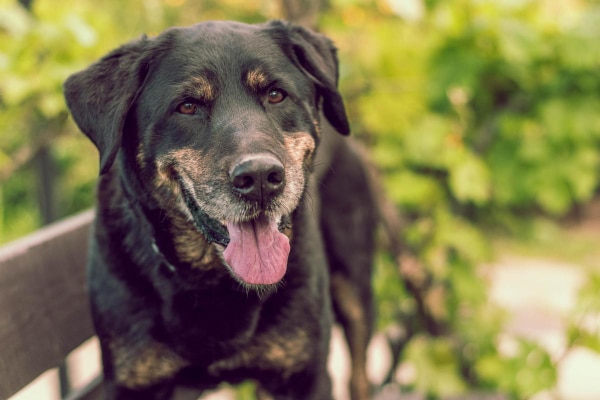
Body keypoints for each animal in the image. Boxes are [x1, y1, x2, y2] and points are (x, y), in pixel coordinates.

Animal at [63, 21, 378, 400]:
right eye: (187, 106)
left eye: (276, 95)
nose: (260, 177)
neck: (214, 280)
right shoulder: (136, 383)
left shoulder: (305, 377)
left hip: (354, 288)